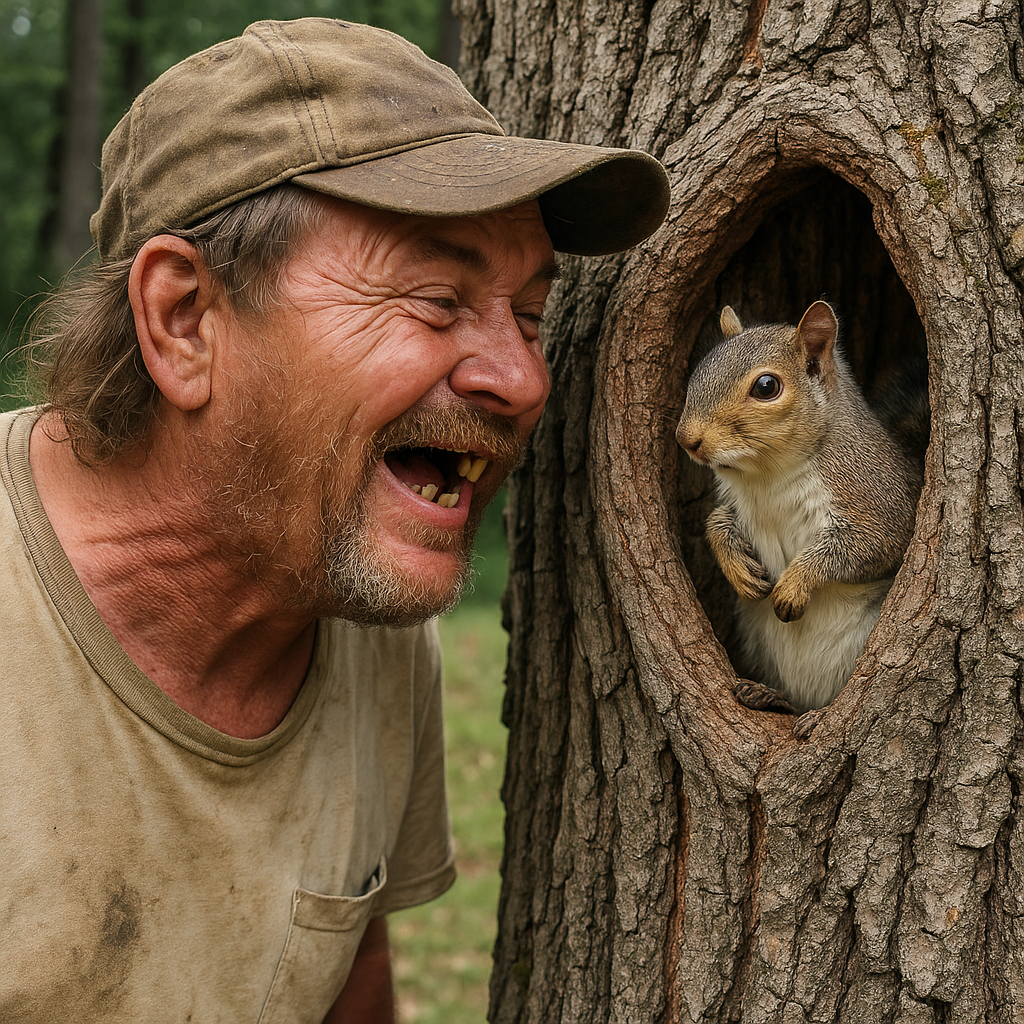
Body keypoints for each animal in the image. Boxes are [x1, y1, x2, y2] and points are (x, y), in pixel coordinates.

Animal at [676, 300, 925, 724]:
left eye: (766, 387)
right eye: (702, 368)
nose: (685, 439)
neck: (767, 475)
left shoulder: (880, 502)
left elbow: (868, 546)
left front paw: (793, 586)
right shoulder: (737, 503)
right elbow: (718, 521)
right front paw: (737, 567)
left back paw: (819, 715)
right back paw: (767, 695)